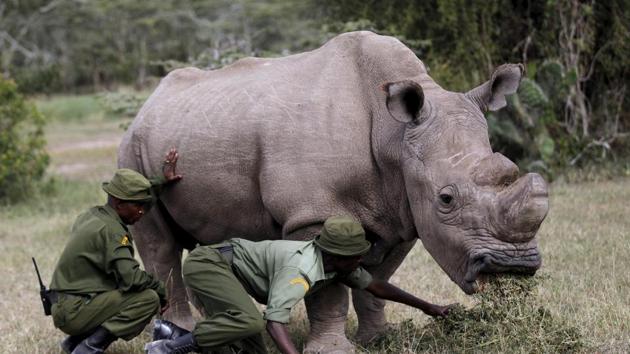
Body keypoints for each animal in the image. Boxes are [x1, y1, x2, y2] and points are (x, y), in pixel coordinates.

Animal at [117, 31, 548, 352]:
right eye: (446, 199)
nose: (513, 266)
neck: (394, 135)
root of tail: (147, 104)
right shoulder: (312, 213)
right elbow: (327, 290)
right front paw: (334, 350)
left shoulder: (401, 211)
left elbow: (377, 278)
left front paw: (379, 339)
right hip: (133, 151)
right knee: (159, 244)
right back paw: (178, 333)